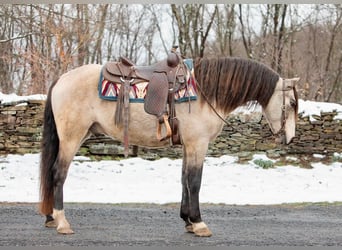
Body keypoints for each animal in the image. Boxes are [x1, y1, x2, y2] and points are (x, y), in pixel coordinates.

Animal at [38, 53, 298, 237]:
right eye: (293, 103)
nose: (289, 138)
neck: (205, 93)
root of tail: (61, 79)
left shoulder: (187, 145)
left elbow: (184, 180)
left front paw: (188, 221)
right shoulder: (197, 144)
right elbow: (194, 182)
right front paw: (199, 223)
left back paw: (51, 218)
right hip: (71, 137)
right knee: (58, 173)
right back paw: (62, 222)